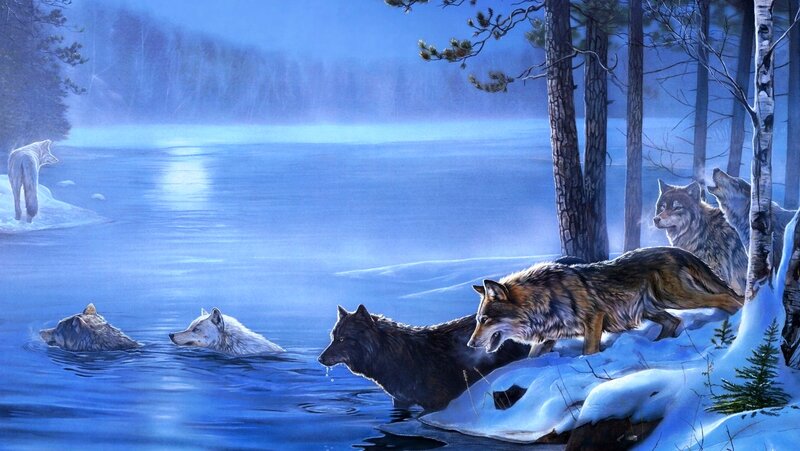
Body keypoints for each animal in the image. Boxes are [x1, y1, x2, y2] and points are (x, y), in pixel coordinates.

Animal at [466, 247, 743, 356]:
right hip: (651, 309)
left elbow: (588, 351)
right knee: (673, 322)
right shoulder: (547, 338)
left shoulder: (594, 318)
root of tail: (676, 250)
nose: (470, 344)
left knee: (727, 297)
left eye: (485, 320)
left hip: (677, 298)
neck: (542, 300)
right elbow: (531, 358)